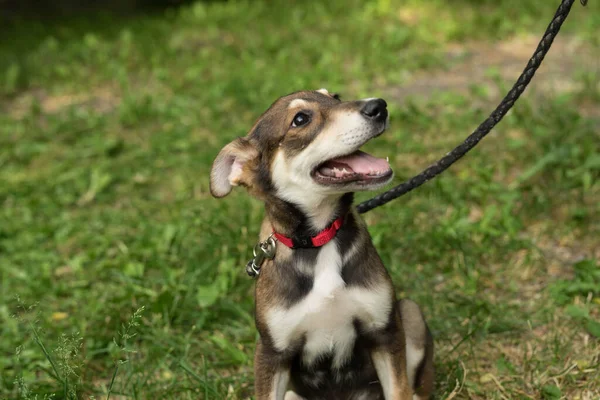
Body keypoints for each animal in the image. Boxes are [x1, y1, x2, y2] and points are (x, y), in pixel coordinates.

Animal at [210, 89, 432, 398]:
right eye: (300, 119)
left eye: (335, 97)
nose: (379, 106)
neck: (319, 240)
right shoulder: (271, 353)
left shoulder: (384, 332)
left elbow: (398, 390)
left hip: (409, 313)